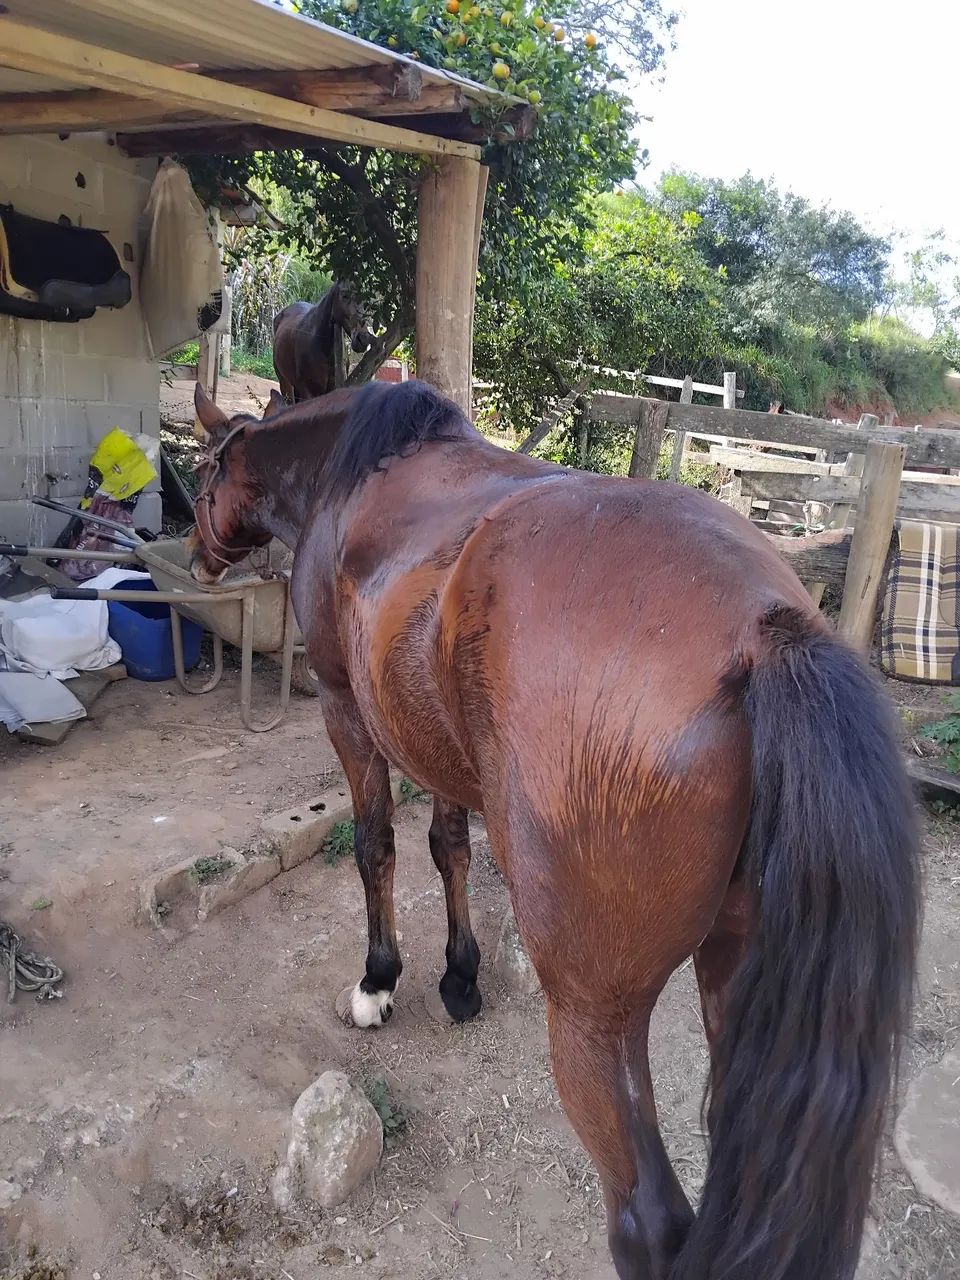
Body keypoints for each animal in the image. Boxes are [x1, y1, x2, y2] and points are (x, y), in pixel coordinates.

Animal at [189, 377, 919, 1280]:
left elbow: (376, 849)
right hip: (735, 989)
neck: (351, 475)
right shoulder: (440, 750)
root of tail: (764, 629)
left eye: (204, 474)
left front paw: (379, 981)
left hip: (593, 1021)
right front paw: (460, 976)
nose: (197, 554)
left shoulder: (347, 712)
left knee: (648, 1222)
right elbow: (449, 850)